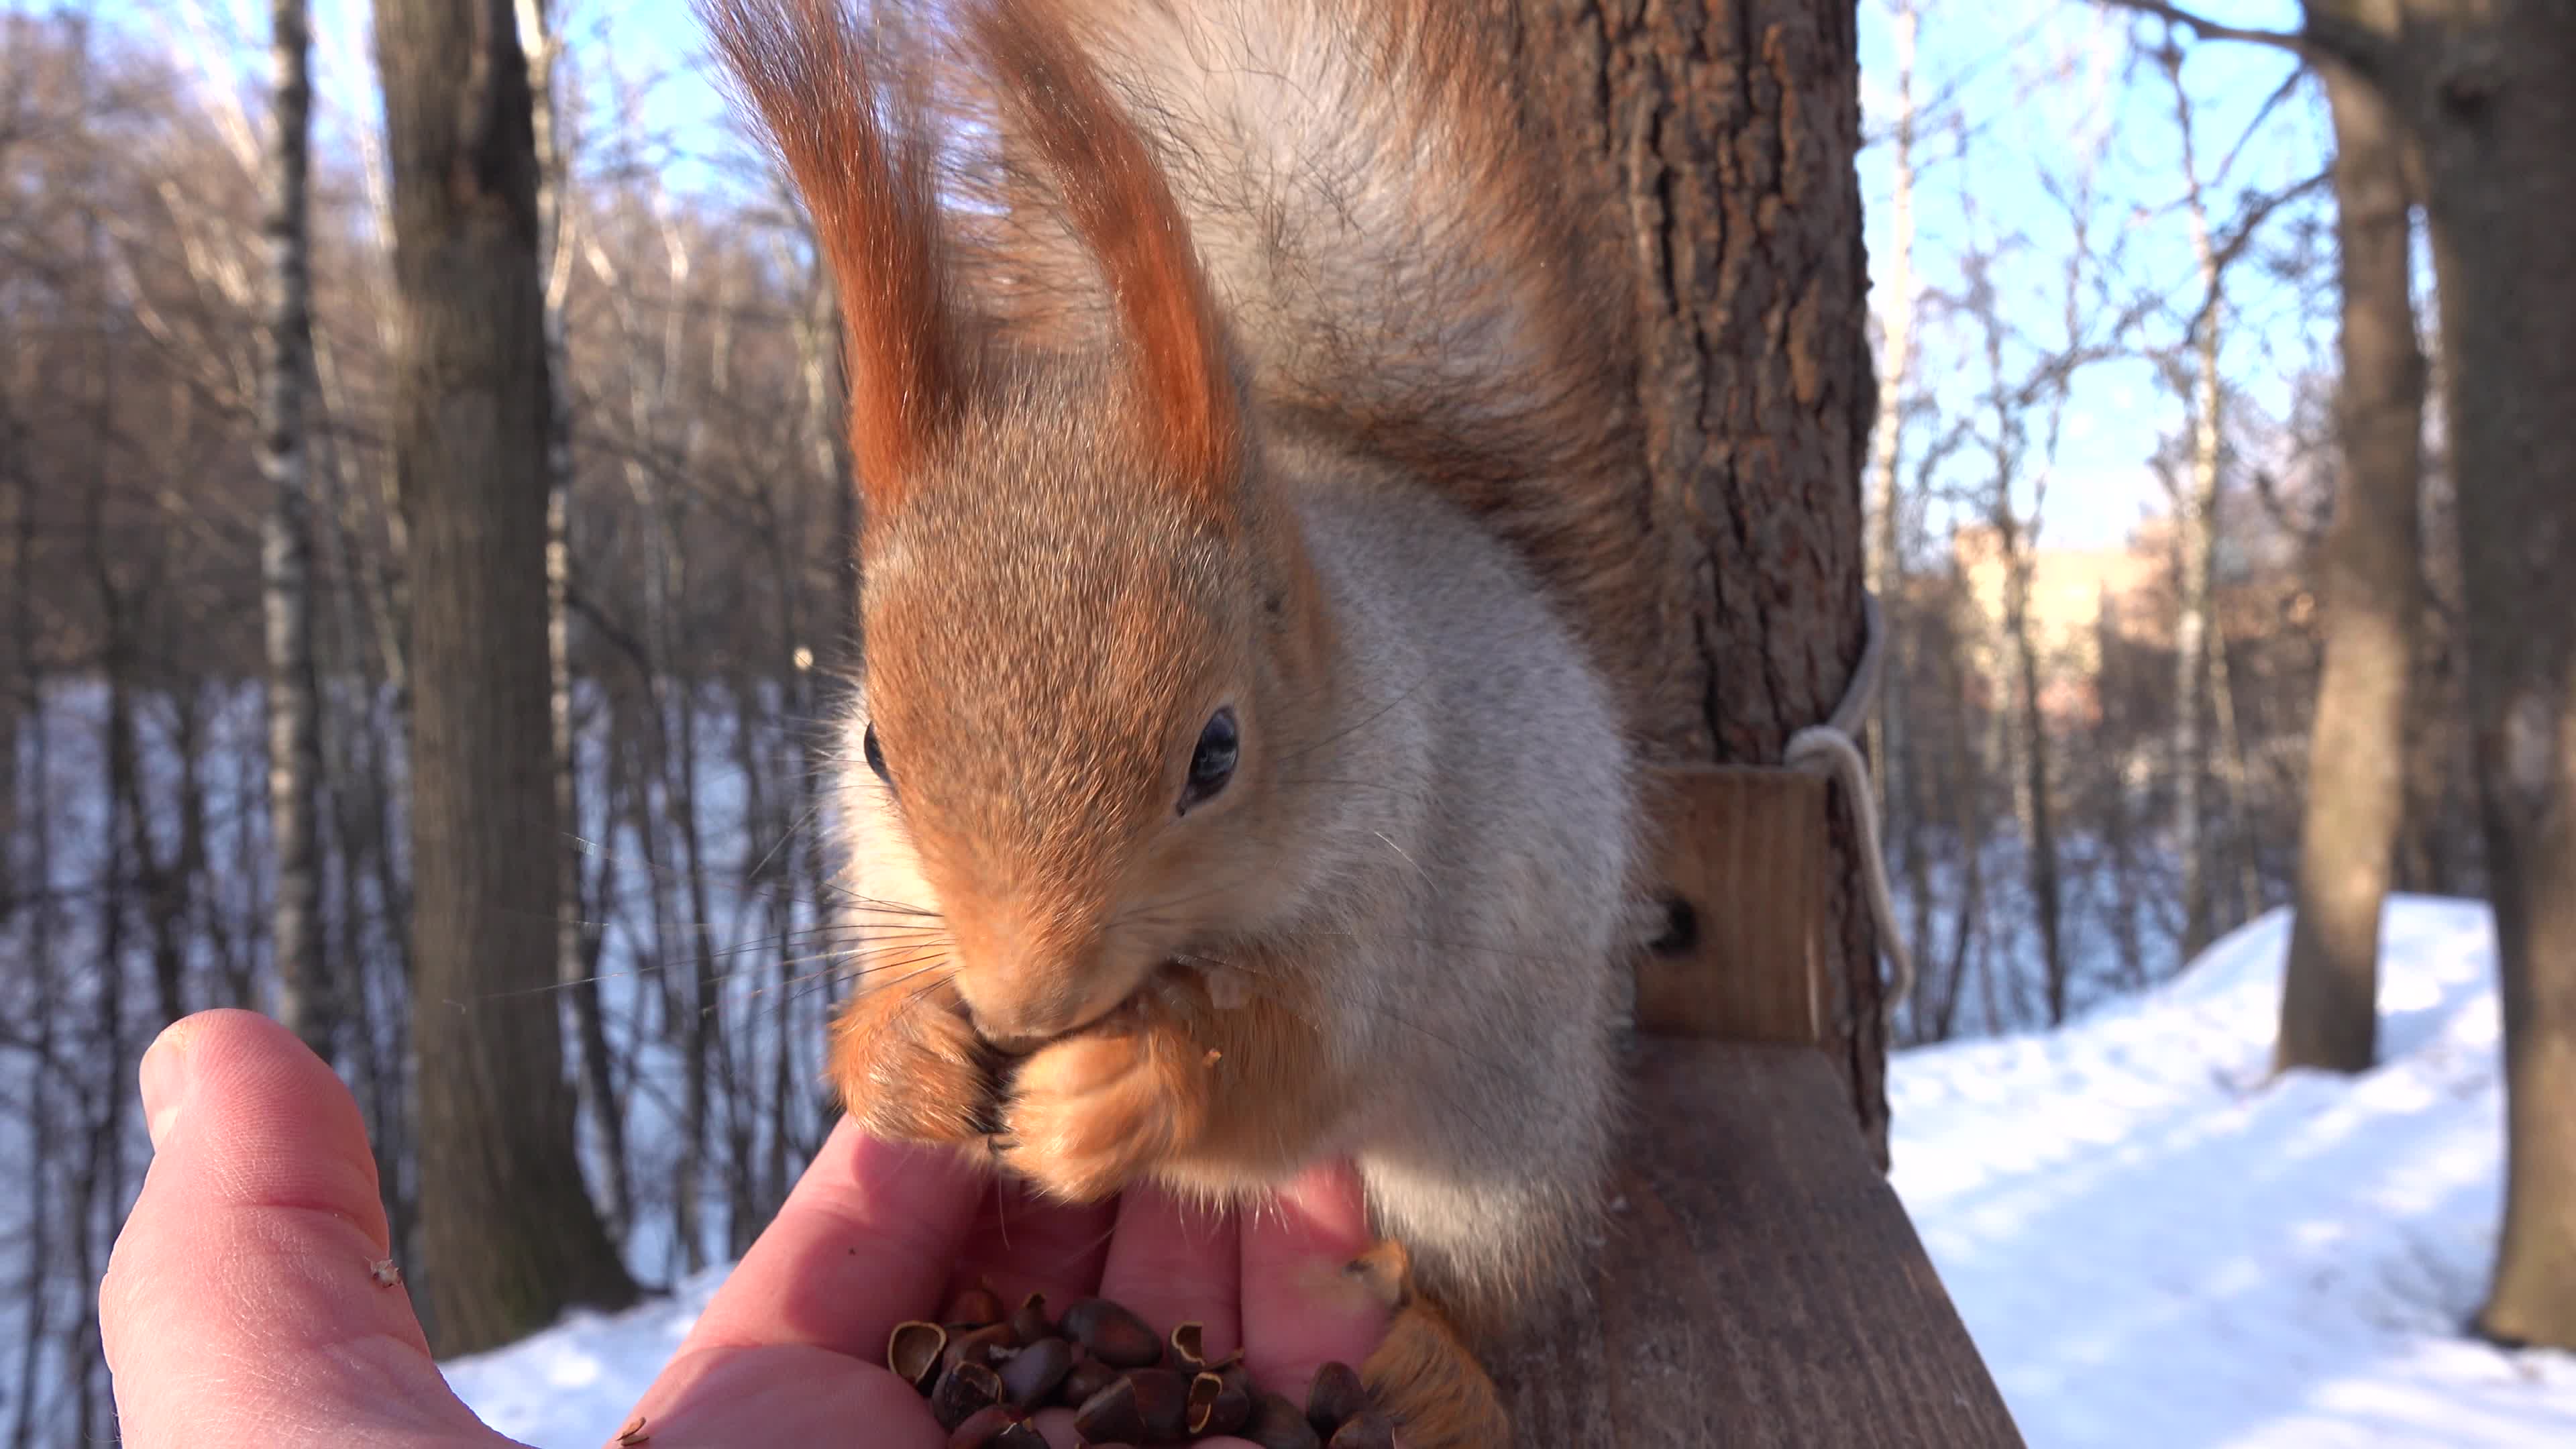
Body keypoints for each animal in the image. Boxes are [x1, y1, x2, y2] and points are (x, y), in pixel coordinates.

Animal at [700, 3, 1648, 1433]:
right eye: (875, 749)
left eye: (1219, 751)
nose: (1026, 1000)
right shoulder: (877, 869)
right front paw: (907, 1052)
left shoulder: (1399, 876)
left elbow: (1295, 1064)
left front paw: (1124, 1087)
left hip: (1503, 1143)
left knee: (1481, 1283)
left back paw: (1437, 1376)